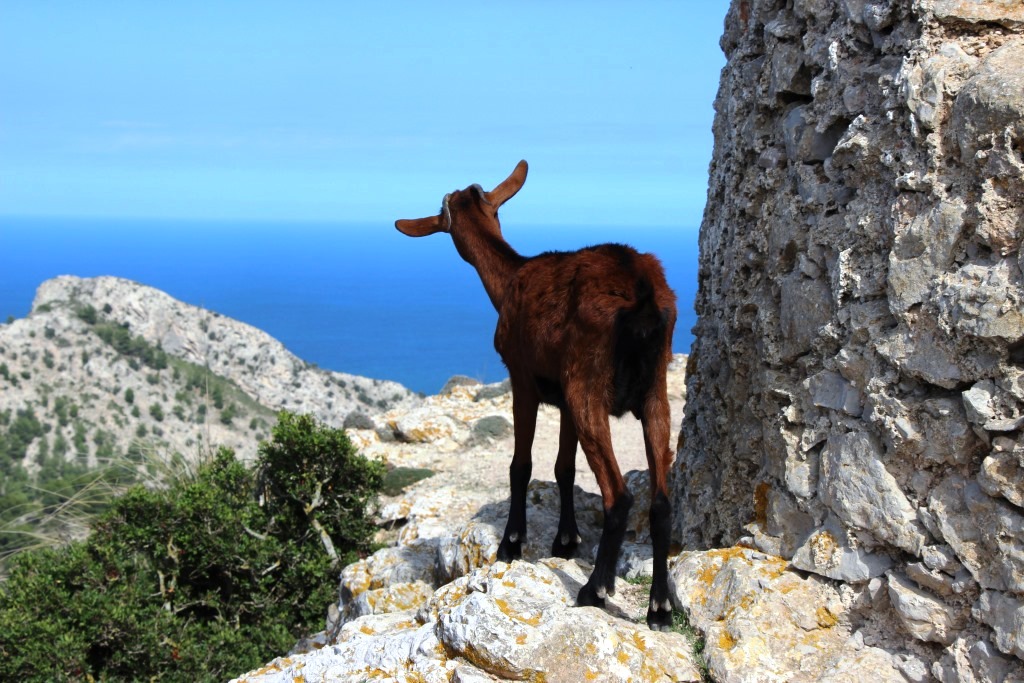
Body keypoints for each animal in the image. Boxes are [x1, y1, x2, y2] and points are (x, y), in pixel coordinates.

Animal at [395, 160, 675, 630]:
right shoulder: (562, 398)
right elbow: (563, 467)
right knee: (661, 501)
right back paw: (660, 608)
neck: (511, 278)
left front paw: (511, 543)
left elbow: (521, 465)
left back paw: (594, 590)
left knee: (620, 496)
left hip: (588, 387)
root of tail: (642, 294)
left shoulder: (523, 378)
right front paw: (566, 540)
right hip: (654, 393)